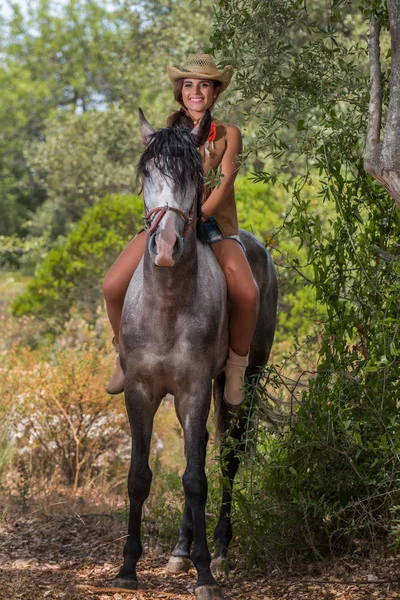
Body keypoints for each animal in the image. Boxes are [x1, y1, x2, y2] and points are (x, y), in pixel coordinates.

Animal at [111, 110, 276, 596]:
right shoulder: (141, 391)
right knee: (199, 446)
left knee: (227, 458)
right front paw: (128, 568)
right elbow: (140, 476)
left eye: (194, 175)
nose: (165, 249)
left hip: (244, 382)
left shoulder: (196, 389)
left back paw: (218, 551)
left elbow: (196, 479)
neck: (167, 303)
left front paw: (205, 573)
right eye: (146, 173)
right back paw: (180, 551)